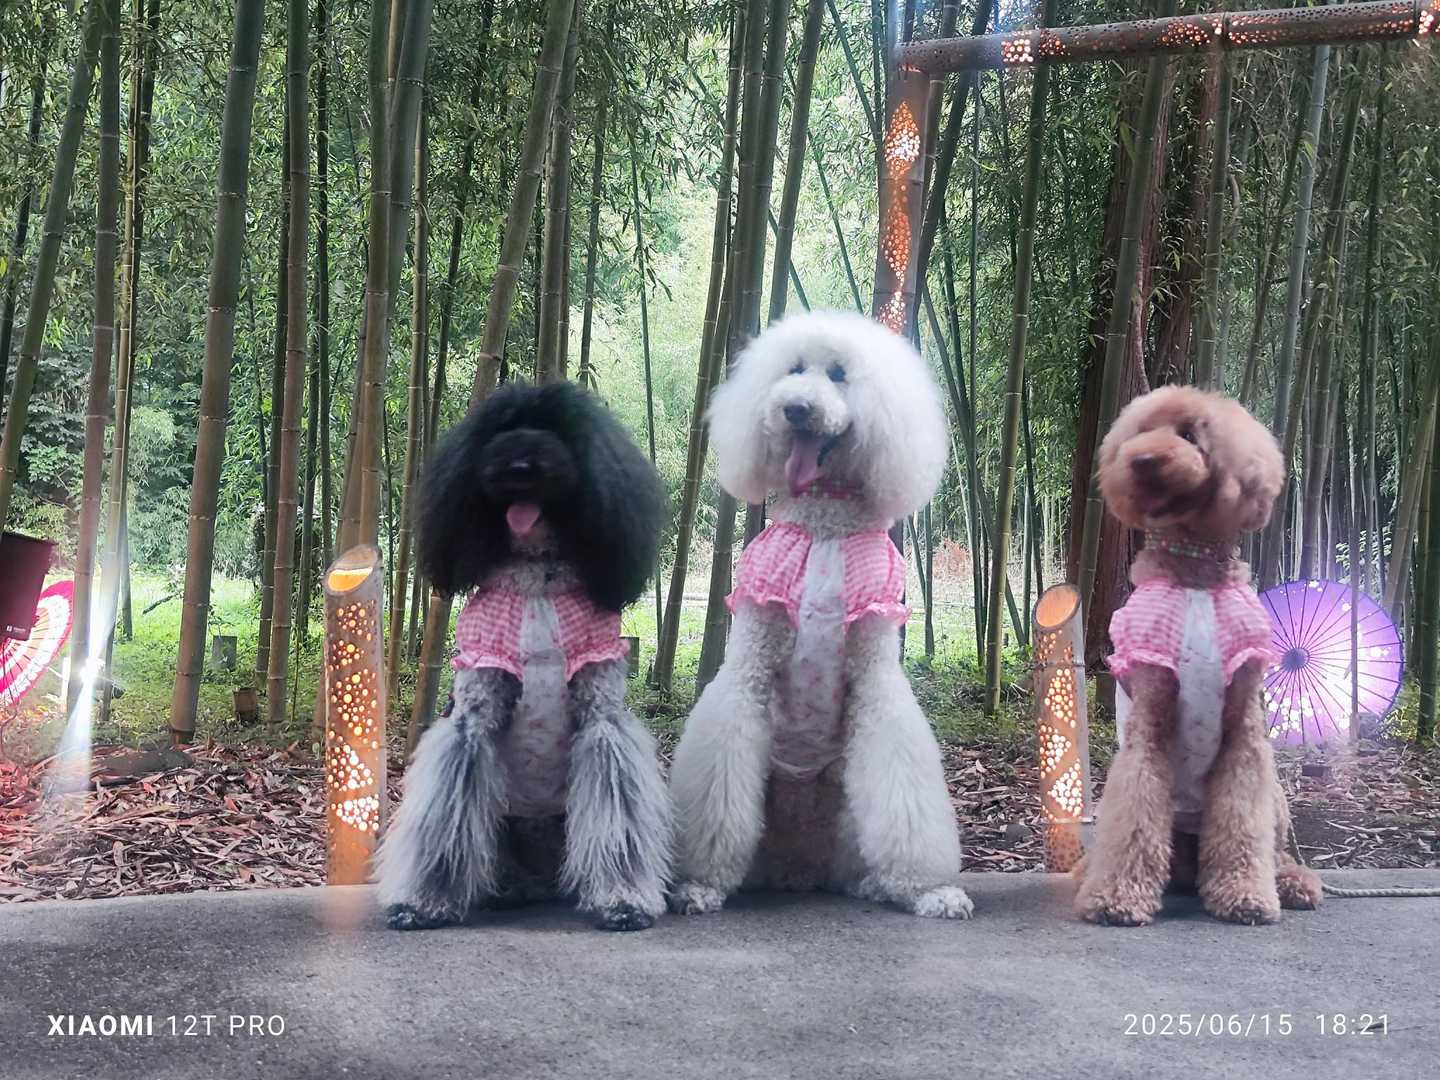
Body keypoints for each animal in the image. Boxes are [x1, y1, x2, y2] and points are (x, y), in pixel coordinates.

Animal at [377, 381, 672, 931]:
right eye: (500, 429)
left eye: (558, 430)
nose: (518, 466)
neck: (537, 578)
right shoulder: (475, 707)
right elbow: (447, 806)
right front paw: (420, 903)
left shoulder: (601, 713)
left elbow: (615, 803)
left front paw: (622, 901)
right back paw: (505, 890)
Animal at [667, 310, 972, 919]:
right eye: (793, 370)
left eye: (838, 375)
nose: (796, 409)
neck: (825, 526)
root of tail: (799, 870)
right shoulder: (750, 665)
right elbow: (718, 771)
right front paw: (700, 882)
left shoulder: (876, 672)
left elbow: (902, 777)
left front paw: (929, 890)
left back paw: (871, 883)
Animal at [1074, 385, 1323, 926]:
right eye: (1140, 433)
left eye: (1190, 435)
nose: (1142, 461)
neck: (1194, 580)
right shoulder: (1151, 712)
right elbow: (1135, 809)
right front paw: (1117, 897)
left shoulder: (1244, 728)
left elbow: (1242, 820)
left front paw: (1245, 894)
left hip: (1277, 797)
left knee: (1277, 850)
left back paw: (1294, 882)